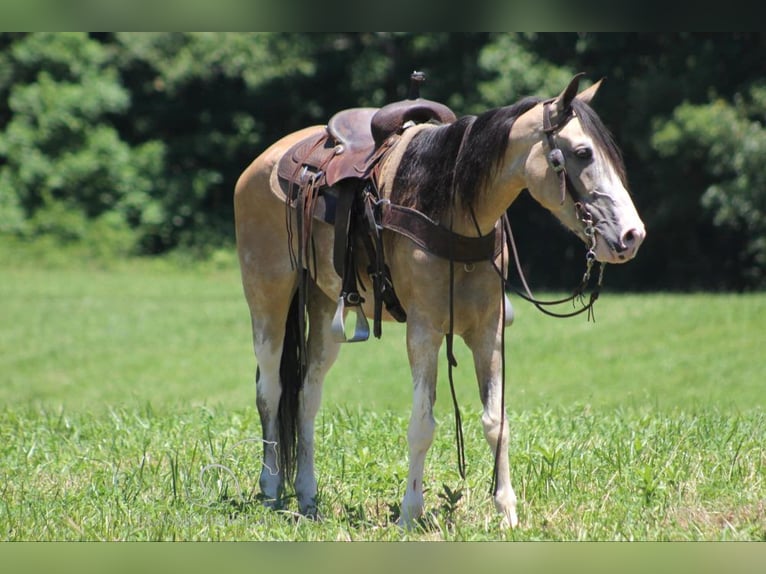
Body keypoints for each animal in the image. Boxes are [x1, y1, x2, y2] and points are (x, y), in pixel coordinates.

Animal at [234, 73, 648, 532]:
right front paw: (410, 513)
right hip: (268, 297)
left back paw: (308, 498)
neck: (452, 208)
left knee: (307, 395)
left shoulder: (488, 332)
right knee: (271, 390)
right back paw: (271, 490)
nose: (632, 236)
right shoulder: (424, 331)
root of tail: (263, 163)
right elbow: (422, 425)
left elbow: (496, 422)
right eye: (582, 152)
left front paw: (507, 512)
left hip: (325, 309)